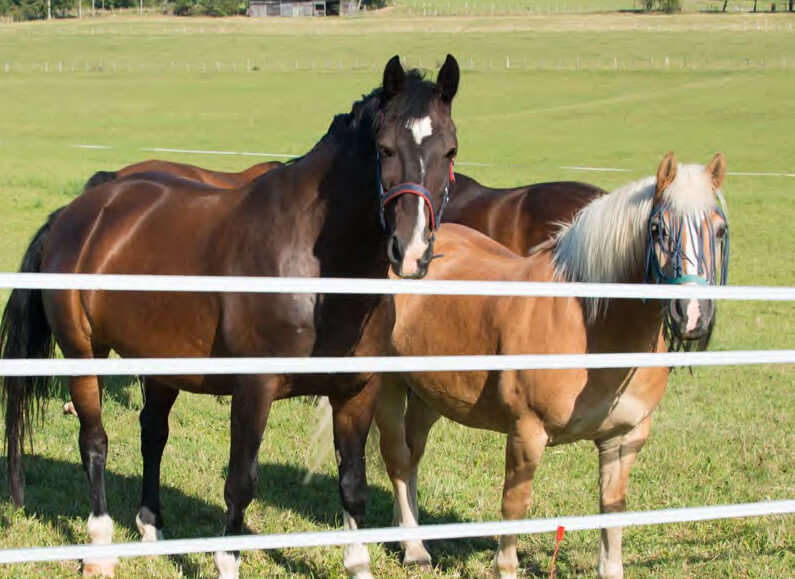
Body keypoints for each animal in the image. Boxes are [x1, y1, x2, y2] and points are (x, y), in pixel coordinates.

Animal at [1, 54, 460, 579]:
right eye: (384, 148)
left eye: (450, 151)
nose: (412, 252)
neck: (312, 265)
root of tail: (78, 213)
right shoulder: (253, 388)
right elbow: (241, 483)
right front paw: (226, 561)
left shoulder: (356, 392)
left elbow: (352, 485)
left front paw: (358, 562)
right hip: (84, 354)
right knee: (94, 441)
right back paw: (100, 548)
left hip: (160, 362)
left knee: (152, 433)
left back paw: (152, 531)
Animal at [376, 154, 732, 579]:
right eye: (658, 229)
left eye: (720, 231)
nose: (692, 316)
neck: (593, 327)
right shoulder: (527, 433)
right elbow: (515, 507)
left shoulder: (624, 438)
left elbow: (612, 510)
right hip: (388, 387)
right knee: (397, 459)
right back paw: (415, 549)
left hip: (429, 394)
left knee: (412, 455)